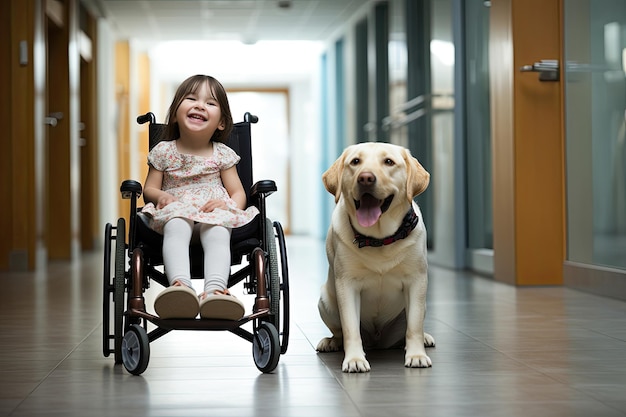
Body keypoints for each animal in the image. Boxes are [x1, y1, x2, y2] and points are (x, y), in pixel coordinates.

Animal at [316, 142, 434, 370]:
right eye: (355, 162)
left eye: (388, 162)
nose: (365, 178)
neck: (379, 239)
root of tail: (378, 340)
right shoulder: (347, 285)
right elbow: (350, 328)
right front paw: (354, 359)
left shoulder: (417, 281)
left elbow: (414, 326)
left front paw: (416, 355)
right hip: (325, 302)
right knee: (339, 332)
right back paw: (331, 342)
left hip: (421, 305)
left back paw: (424, 338)